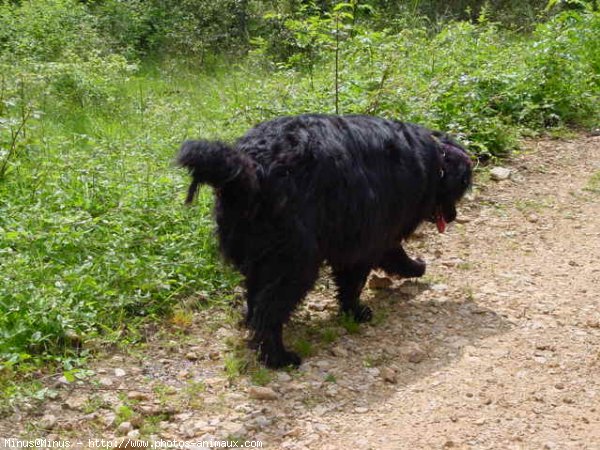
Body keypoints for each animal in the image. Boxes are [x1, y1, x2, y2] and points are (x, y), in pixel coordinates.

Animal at [178, 114, 474, 368]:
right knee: (269, 309)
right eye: (462, 185)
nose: (454, 216)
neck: (436, 160)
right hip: (295, 260)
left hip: (261, 253)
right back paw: (277, 357)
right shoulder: (367, 234)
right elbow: (358, 279)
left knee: (256, 296)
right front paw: (358, 310)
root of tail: (252, 169)